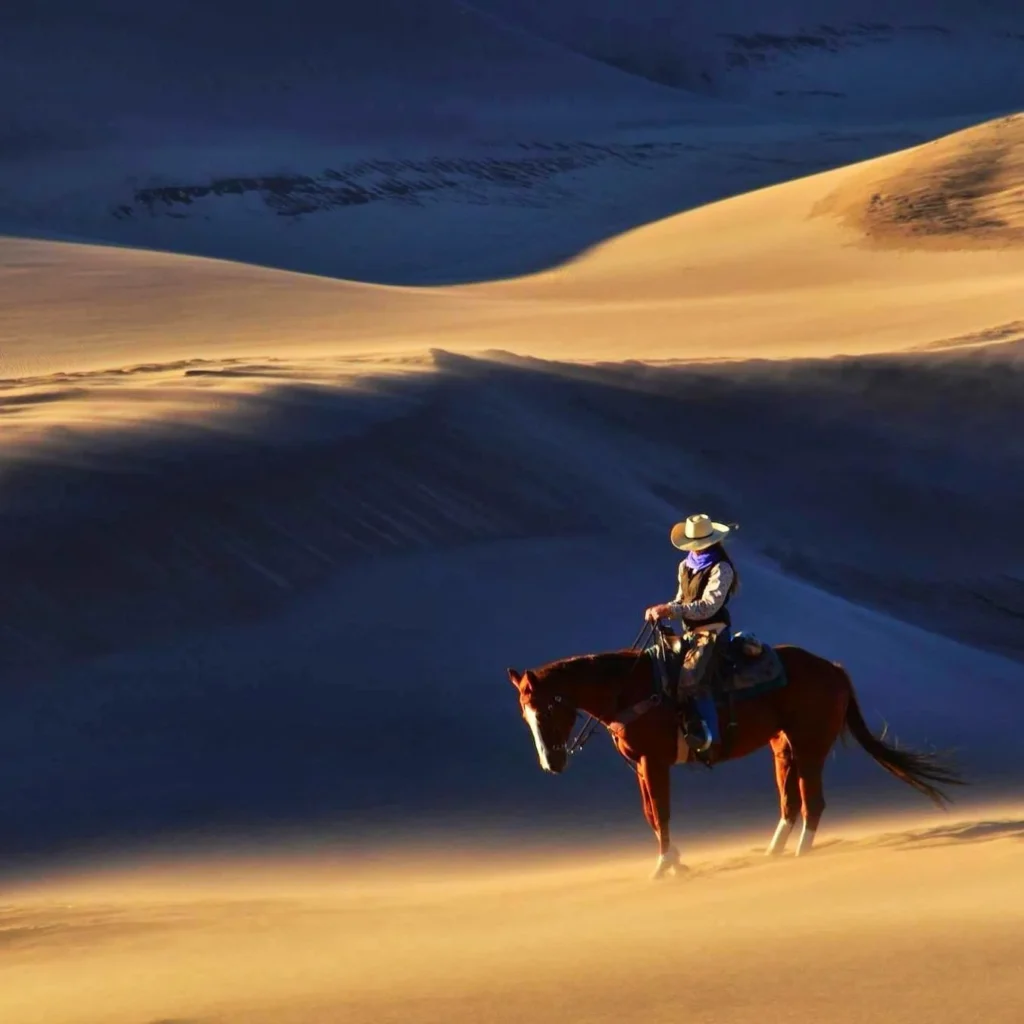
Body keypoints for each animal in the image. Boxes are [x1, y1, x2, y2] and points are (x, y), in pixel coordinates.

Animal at [507, 634, 962, 876]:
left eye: (544, 710)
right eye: (523, 715)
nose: (552, 764)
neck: (628, 689)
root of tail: (833, 669)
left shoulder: (654, 762)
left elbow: (662, 813)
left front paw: (664, 867)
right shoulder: (639, 766)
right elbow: (651, 814)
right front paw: (674, 862)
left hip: (810, 746)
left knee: (812, 802)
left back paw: (801, 854)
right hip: (783, 748)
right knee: (789, 803)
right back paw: (774, 851)